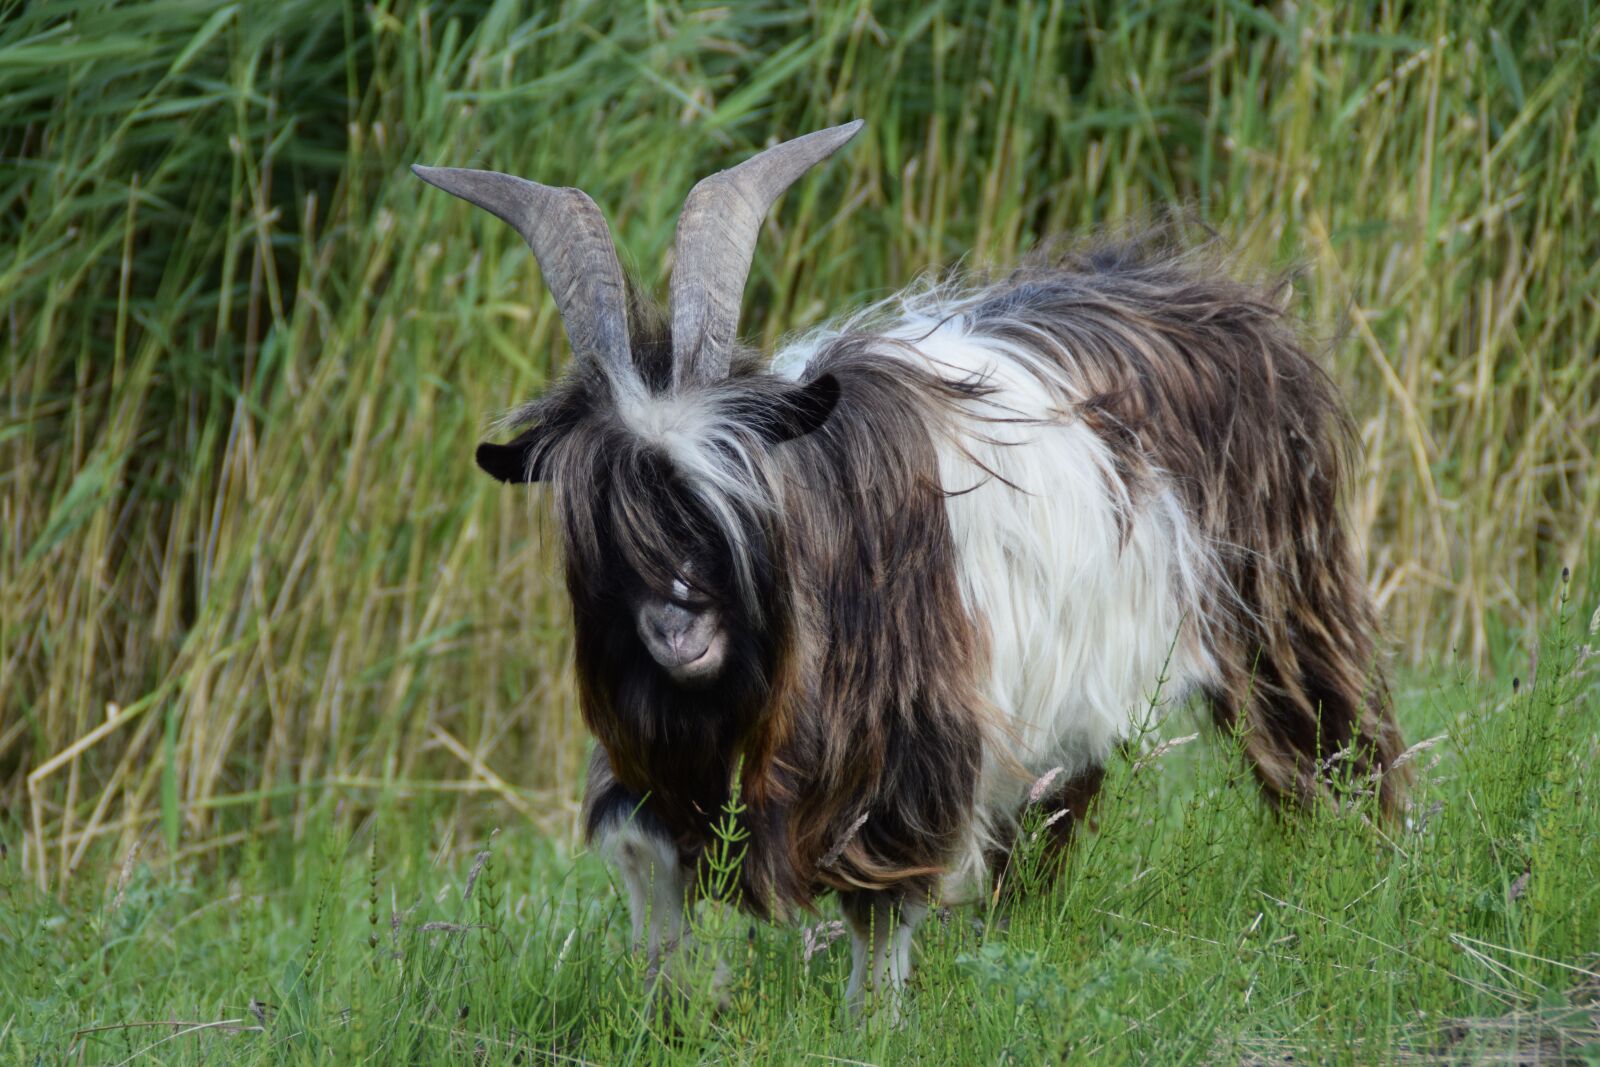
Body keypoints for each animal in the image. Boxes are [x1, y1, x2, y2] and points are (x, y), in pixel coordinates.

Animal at [414, 120, 1408, 1013]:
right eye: (604, 519)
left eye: (727, 495)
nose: (677, 628)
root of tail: (1224, 298)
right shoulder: (654, 741)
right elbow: (648, 866)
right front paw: (674, 1011)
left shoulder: (911, 744)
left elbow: (882, 905)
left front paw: (872, 1024)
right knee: (1056, 809)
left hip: (1284, 603)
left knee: (1336, 740)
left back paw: (1365, 868)